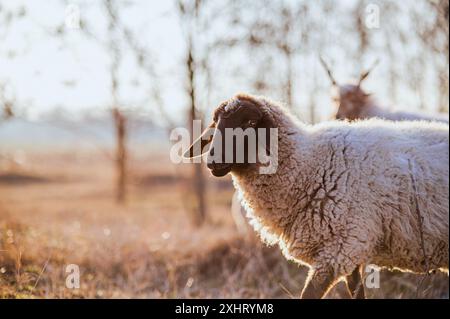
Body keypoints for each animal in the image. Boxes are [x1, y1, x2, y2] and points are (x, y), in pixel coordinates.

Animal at [184, 93, 450, 300]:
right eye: (216, 122)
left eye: (250, 121)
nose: (213, 162)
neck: (309, 164)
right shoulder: (350, 248)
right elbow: (357, 292)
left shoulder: (340, 248)